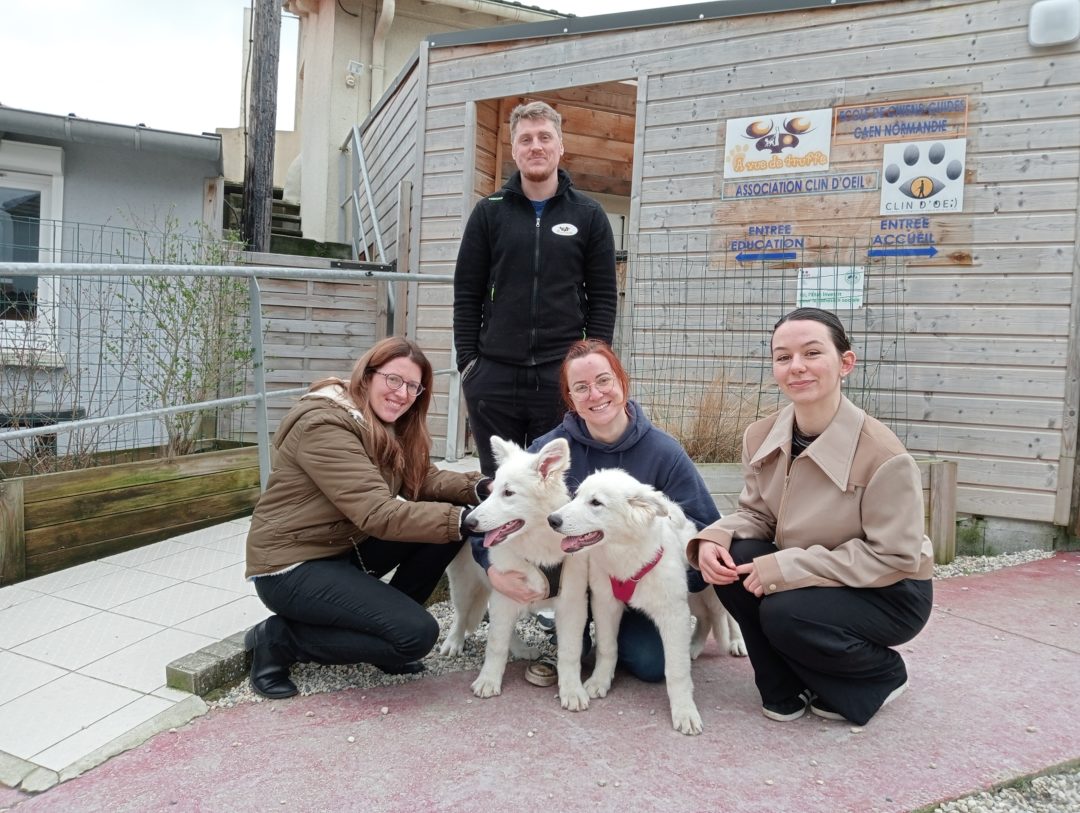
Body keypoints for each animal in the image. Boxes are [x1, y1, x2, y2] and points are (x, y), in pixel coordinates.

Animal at [436, 434, 591, 708]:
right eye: (491, 491)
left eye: (508, 493)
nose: (469, 523)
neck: (537, 547)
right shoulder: (505, 593)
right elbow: (496, 644)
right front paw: (488, 680)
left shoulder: (572, 604)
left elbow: (570, 651)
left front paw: (572, 690)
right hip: (466, 584)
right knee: (462, 614)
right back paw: (454, 642)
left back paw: (520, 650)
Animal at [552, 466, 747, 734]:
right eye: (577, 495)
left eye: (596, 502)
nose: (552, 520)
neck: (629, 557)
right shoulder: (605, 604)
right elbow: (607, 648)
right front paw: (600, 681)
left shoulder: (673, 614)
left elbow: (676, 671)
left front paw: (685, 712)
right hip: (692, 596)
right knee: (706, 619)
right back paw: (694, 647)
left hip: (711, 588)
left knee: (727, 616)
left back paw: (737, 643)